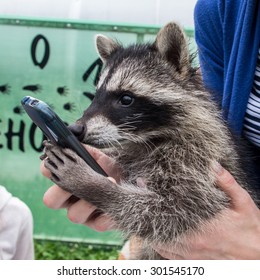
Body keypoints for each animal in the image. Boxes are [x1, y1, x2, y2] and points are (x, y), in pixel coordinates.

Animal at [44, 22, 260, 260]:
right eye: (96, 96)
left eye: (126, 99)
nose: (75, 130)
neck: (149, 138)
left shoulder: (201, 164)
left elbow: (171, 211)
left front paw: (94, 185)